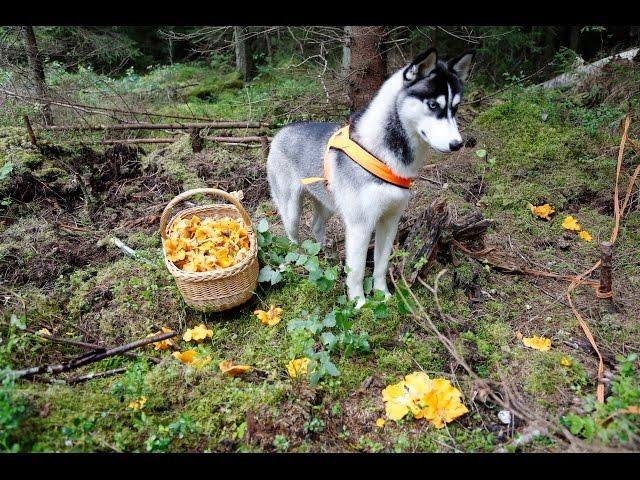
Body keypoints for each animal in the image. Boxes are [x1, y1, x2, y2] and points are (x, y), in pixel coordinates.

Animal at [268, 47, 472, 306]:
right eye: (433, 105)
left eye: (455, 107)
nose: (457, 144)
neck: (383, 155)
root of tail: (281, 131)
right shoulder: (360, 225)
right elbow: (356, 270)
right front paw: (359, 303)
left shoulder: (390, 221)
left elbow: (381, 265)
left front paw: (382, 295)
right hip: (292, 209)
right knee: (291, 235)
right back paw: (295, 258)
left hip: (328, 203)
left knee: (316, 226)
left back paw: (323, 255)